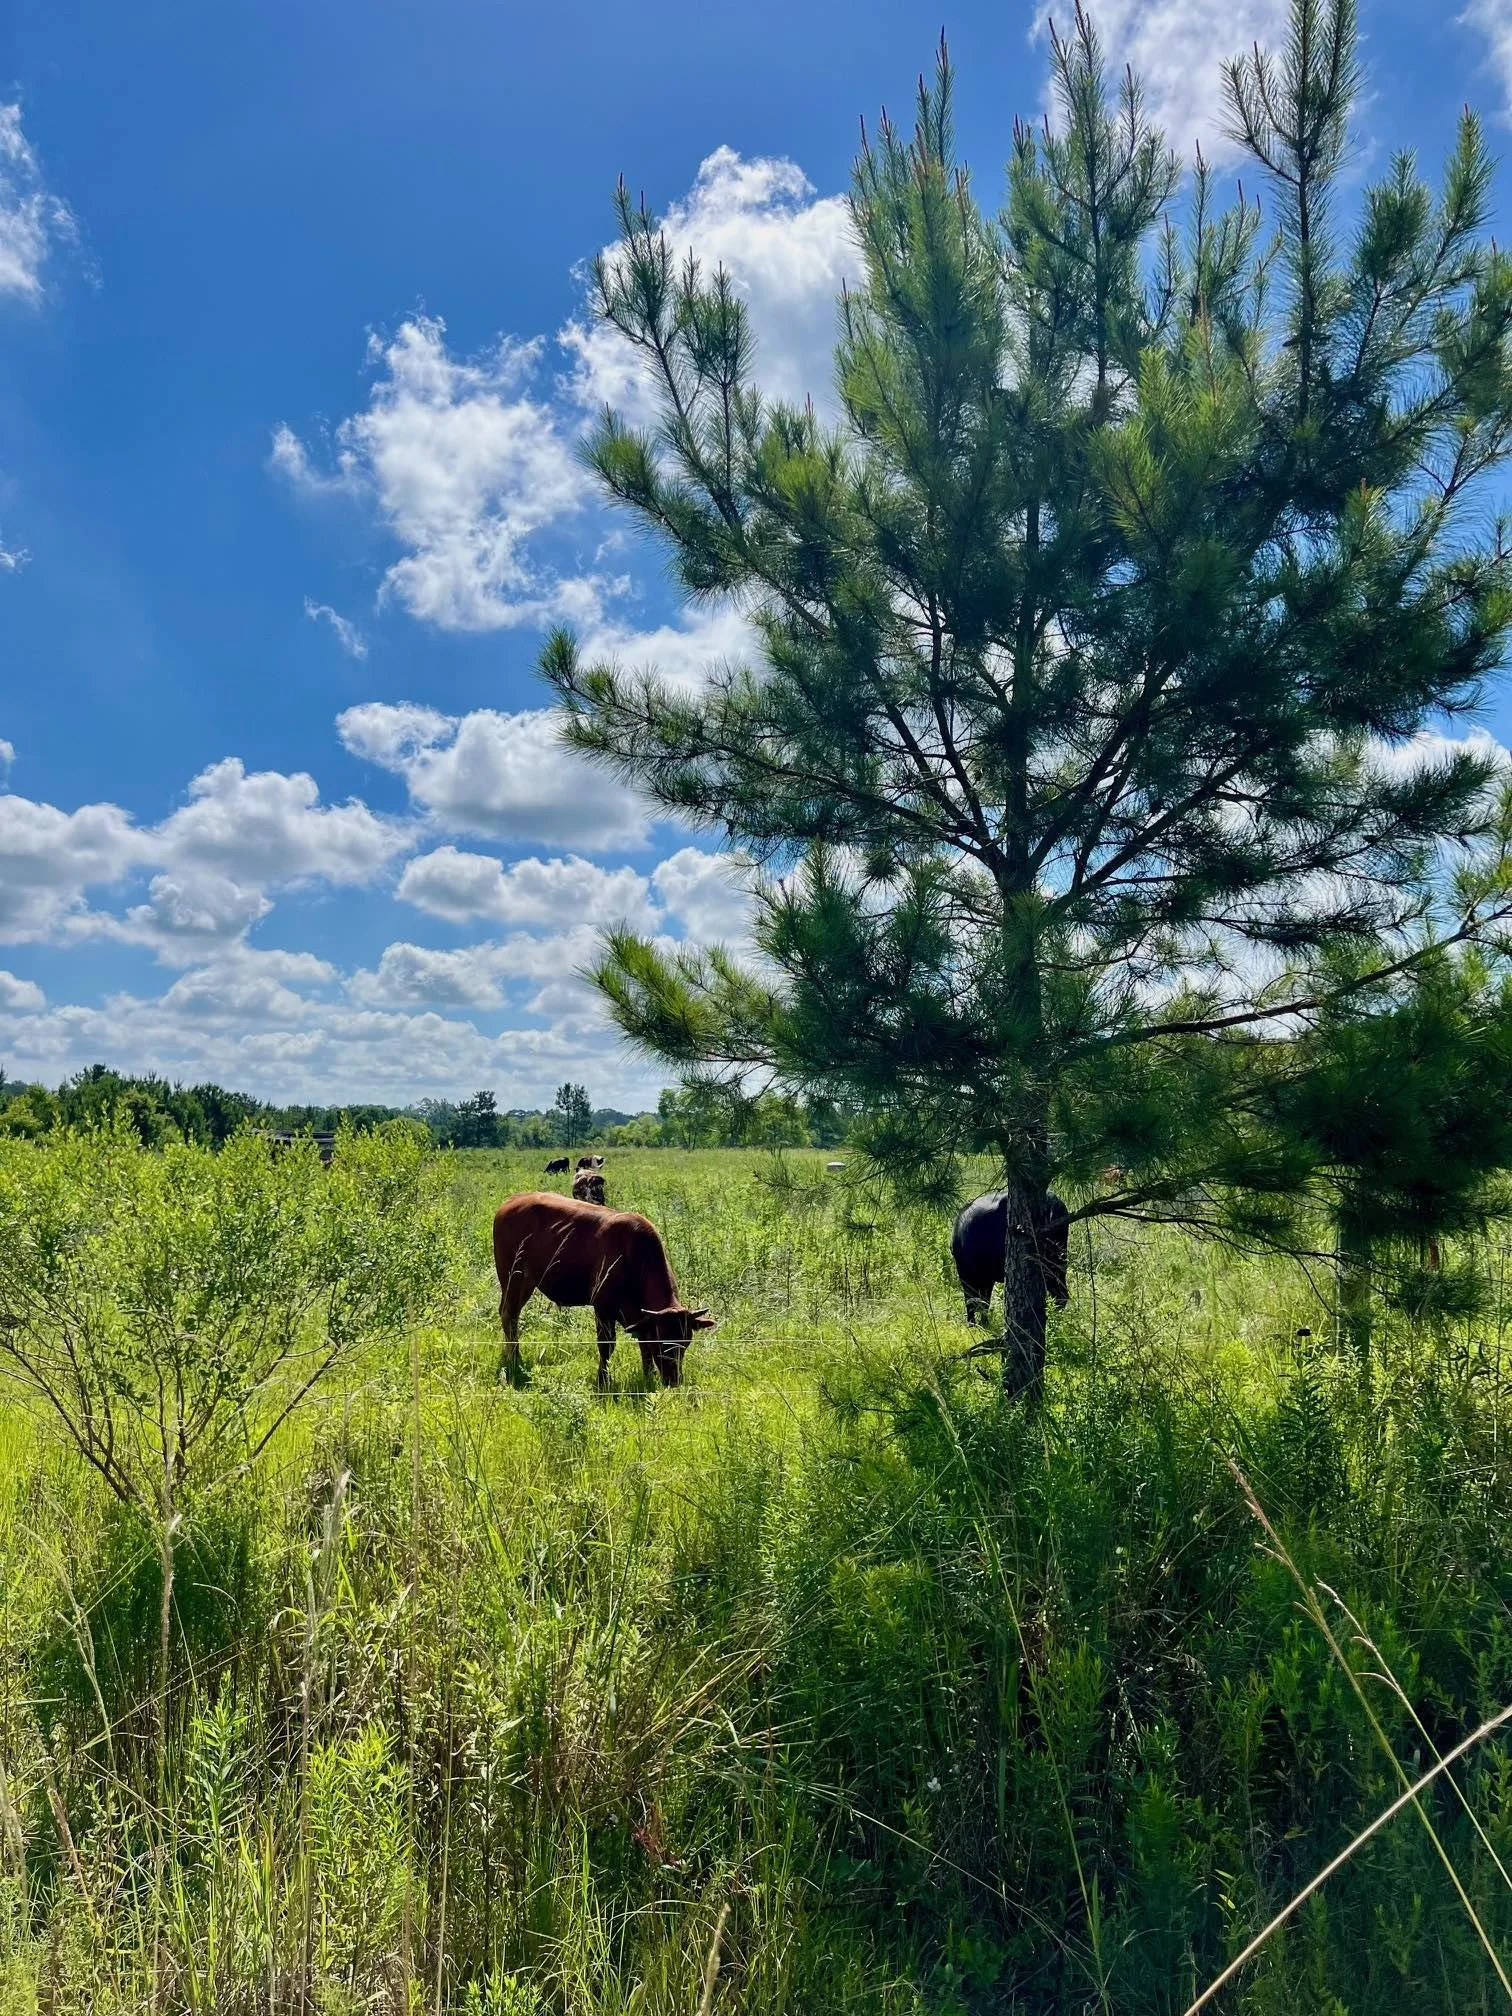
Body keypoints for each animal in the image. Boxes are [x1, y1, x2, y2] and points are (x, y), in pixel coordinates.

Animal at [493, 1191, 714, 1388]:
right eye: (662, 1342)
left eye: (686, 1342)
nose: (673, 1380)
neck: (634, 1256)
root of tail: (512, 1201)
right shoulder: (603, 1308)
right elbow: (607, 1346)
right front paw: (603, 1380)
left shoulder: (639, 1318)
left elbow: (643, 1344)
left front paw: (648, 1376)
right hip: (513, 1277)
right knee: (509, 1314)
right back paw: (515, 1358)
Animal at [951, 1190, 1070, 1326]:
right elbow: (983, 1302)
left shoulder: (968, 1276)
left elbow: (973, 1301)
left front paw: (973, 1324)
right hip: (1058, 1263)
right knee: (1061, 1294)